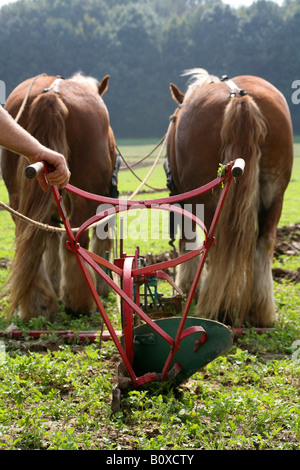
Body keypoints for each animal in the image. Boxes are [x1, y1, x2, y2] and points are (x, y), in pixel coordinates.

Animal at [1, 73, 116, 322]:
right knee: (75, 240)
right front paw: (102, 286)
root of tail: (52, 93)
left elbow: (49, 240)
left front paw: (55, 285)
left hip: (17, 196)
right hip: (86, 195)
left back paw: (39, 304)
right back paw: (80, 302)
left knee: (28, 237)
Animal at [166, 69, 292, 326]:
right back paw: (259, 311)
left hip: (209, 198)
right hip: (275, 194)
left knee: (215, 245)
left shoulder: (187, 198)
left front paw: (187, 285)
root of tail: (240, 97)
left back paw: (217, 308)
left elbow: (187, 239)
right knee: (264, 243)